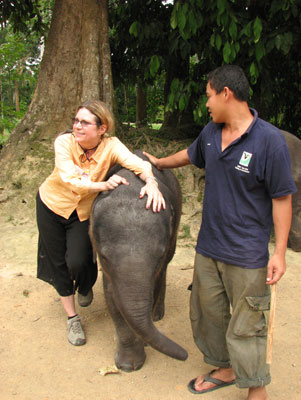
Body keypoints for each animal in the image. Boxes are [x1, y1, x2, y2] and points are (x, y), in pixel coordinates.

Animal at [90, 151, 186, 372]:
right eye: (104, 257)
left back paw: (158, 315)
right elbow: (112, 298)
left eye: (158, 255)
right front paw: (128, 365)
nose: (186, 355)